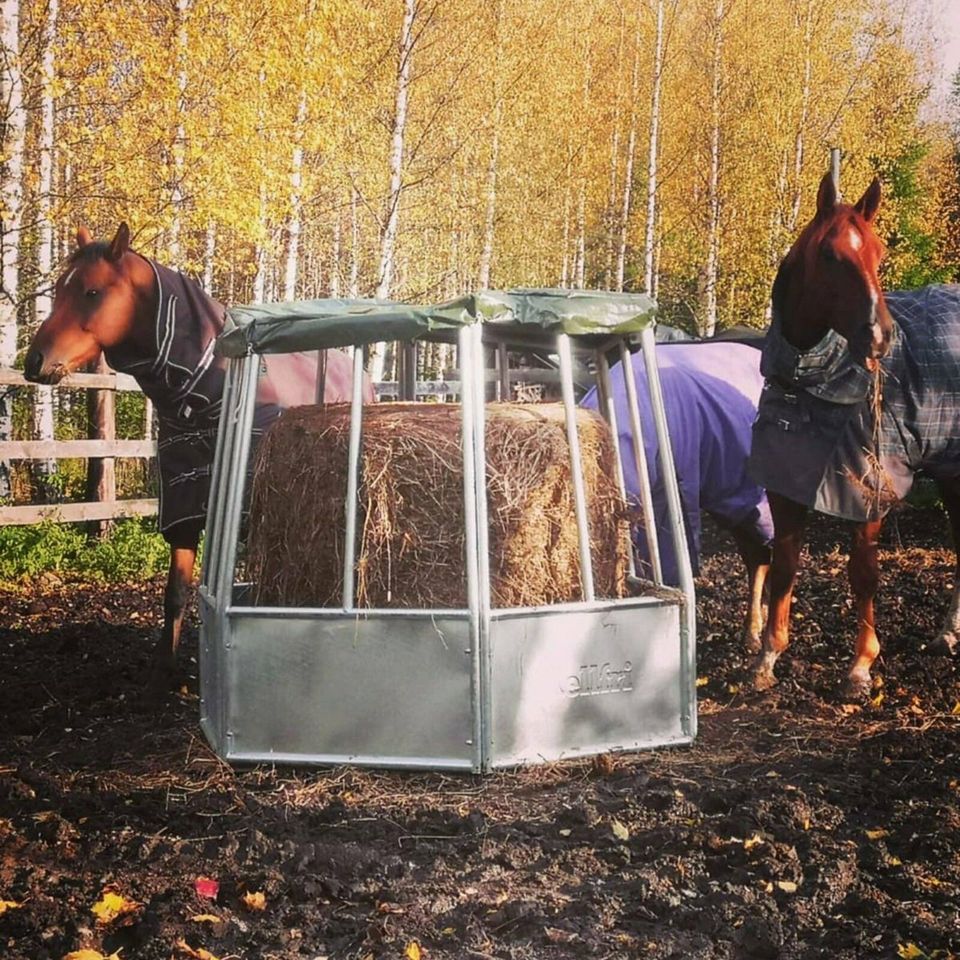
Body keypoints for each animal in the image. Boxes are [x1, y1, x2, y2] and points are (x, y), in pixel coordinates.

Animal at [24, 223, 374, 688]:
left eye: (92, 291)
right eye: (61, 288)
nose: (34, 361)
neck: (200, 400)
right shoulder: (183, 505)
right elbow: (175, 591)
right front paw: (164, 668)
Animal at [752, 172, 960, 696]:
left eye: (880, 255)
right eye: (831, 256)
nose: (880, 336)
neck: (811, 383)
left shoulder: (866, 492)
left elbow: (863, 574)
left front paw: (860, 666)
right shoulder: (785, 484)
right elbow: (785, 566)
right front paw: (768, 655)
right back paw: (947, 634)